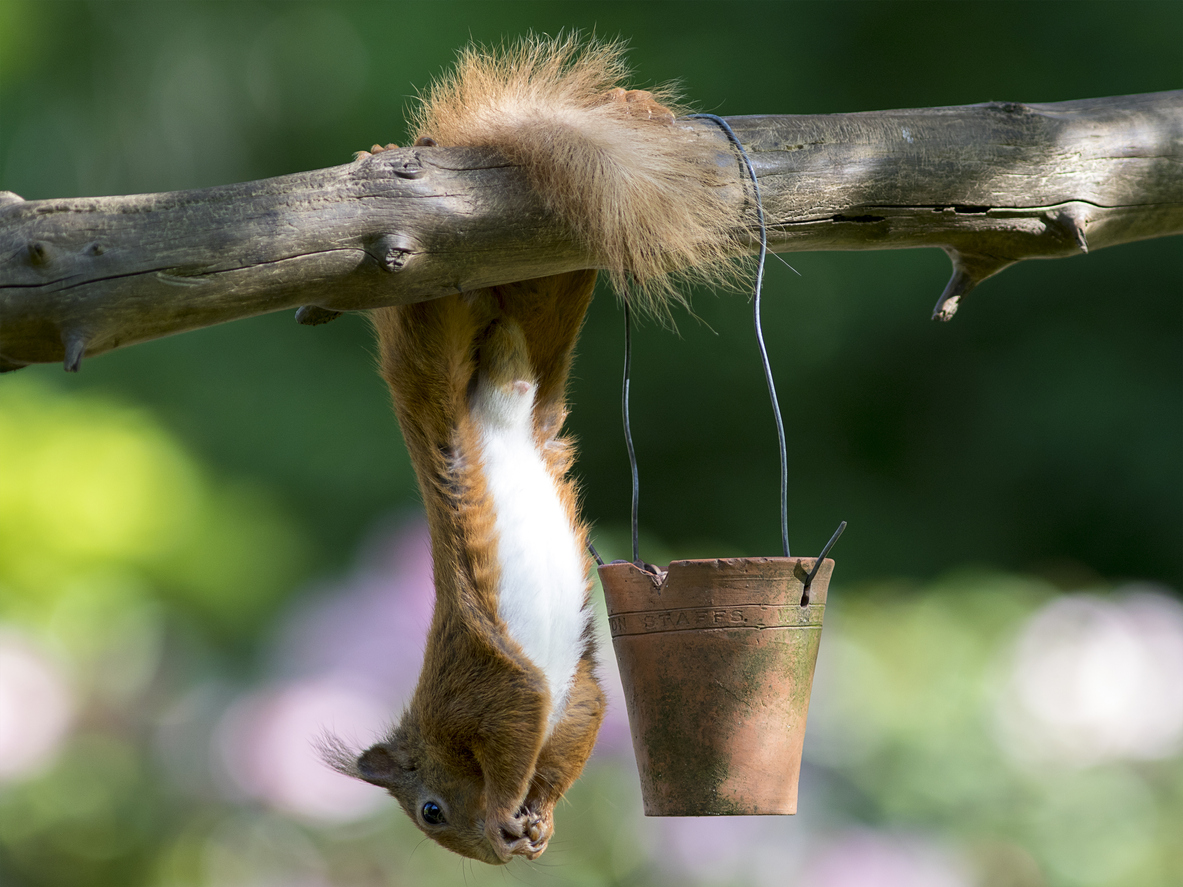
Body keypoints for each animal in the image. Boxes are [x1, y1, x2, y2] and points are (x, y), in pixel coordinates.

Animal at [328, 38, 738, 865]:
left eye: (430, 810)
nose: (489, 855)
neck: (441, 728)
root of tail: (495, 391)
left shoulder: (489, 689)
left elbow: (524, 729)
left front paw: (504, 813)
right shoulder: (566, 694)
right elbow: (575, 727)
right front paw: (534, 819)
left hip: (434, 321)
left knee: (429, 314)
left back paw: (396, 152)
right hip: (547, 275)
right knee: (551, 280)